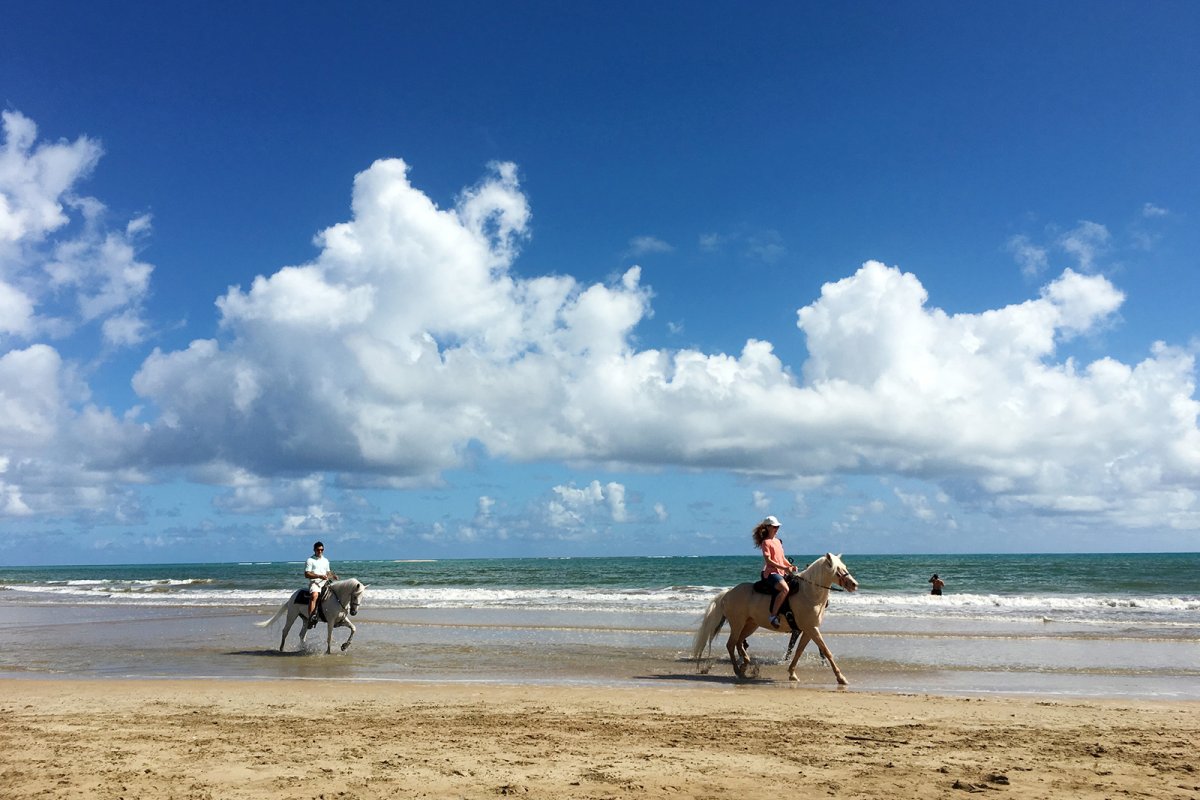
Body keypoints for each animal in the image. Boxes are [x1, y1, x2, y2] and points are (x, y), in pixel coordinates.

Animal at [691, 554, 859, 686]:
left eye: (845, 567)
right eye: (838, 569)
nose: (854, 584)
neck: (809, 594)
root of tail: (728, 593)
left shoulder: (808, 630)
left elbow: (799, 651)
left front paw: (792, 673)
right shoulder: (811, 629)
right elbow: (826, 651)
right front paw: (841, 678)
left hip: (751, 624)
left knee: (739, 643)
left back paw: (745, 666)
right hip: (738, 624)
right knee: (731, 644)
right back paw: (738, 671)